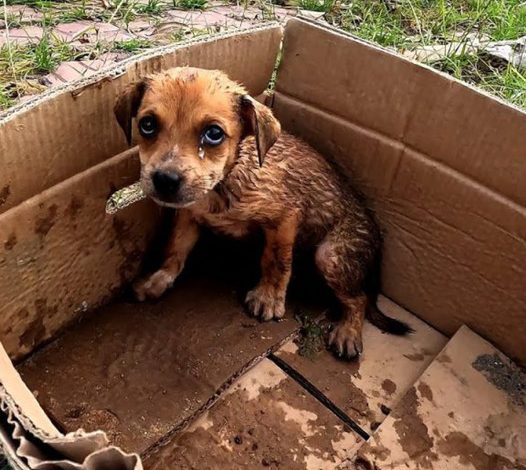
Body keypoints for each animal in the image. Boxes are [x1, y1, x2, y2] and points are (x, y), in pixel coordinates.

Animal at [115, 67, 412, 360]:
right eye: (147, 125)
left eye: (214, 133)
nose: (165, 180)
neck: (223, 183)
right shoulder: (188, 215)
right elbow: (174, 249)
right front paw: (158, 279)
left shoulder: (285, 218)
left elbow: (276, 261)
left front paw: (268, 298)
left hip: (331, 256)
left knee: (359, 298)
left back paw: (348, 331)